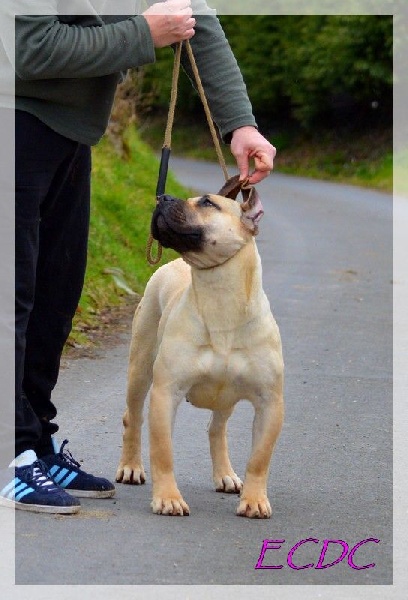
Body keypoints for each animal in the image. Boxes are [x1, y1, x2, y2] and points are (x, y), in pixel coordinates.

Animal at [115, 176, 284, 516]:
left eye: (207, 202)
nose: (163, 197)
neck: (220, 298)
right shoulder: (166, 392)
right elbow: (163, 451)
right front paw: (168, 498)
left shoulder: (270, 402)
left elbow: (260, 458)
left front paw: (255, 499)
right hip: (140, 369)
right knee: (133, 418)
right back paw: (130, 467)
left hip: (225, 397)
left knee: (217, 429)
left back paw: (226, 475)